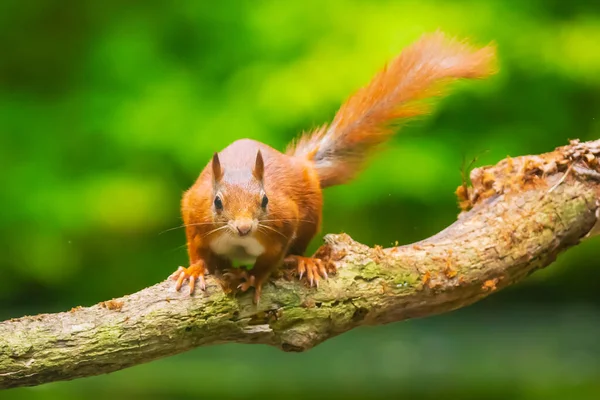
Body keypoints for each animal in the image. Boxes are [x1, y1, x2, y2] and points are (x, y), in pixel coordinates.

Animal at [168, 32, 496, 302]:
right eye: (217, 202)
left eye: (264, 200)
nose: (244, 227)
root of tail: (302, 164)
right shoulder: (195, 216)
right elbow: (198, 252)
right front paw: (194, 270)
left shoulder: (283, 223)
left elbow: (270, 261)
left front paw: (254, 278)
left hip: (310, 214)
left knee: (297, 248)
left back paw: (305, 261)